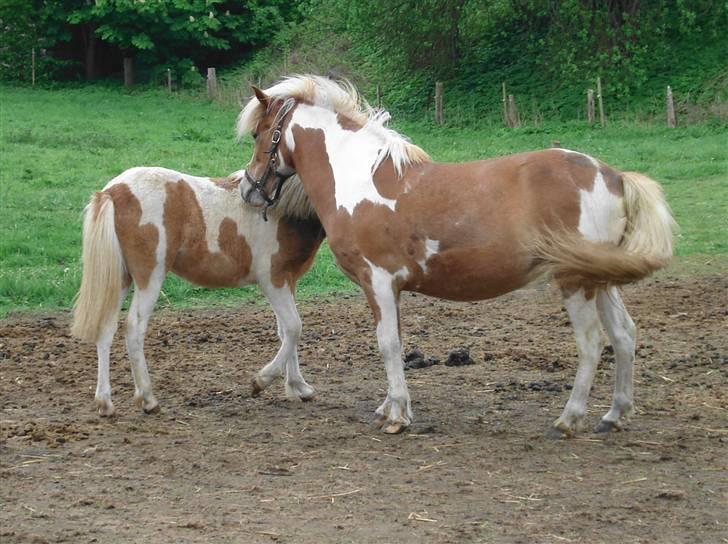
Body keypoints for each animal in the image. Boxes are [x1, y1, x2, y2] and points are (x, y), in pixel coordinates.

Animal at [72, 165, 322, 412]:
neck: (283, 211)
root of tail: (113, 191)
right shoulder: (273, 281)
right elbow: (293, 327)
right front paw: (263, 381)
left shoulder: (288, 281)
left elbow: (285, 332)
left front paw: (298, 386)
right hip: (149, 277)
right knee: (134, 328)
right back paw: (148, 398)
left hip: (120, 278)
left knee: (106, 328)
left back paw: (105, 402)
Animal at [236, 75, 680, 438]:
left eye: (260, 134)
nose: (249, 189)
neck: (358, 179)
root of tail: (614, 177)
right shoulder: (392, 287)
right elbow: (396, 341)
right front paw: (389, 407)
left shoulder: (377, 280)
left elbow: (387, 345)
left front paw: (396, 417)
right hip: (599, 279)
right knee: (624, 335)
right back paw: (614, 415)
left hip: (576, 281)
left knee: (590, 343)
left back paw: (568, 420)